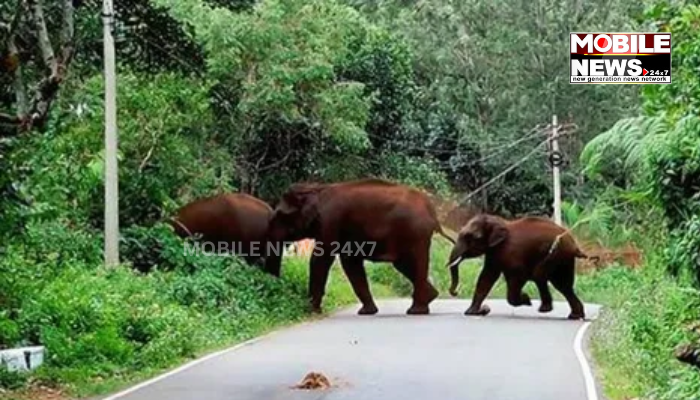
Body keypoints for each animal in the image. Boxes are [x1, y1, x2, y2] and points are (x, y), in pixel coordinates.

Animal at [262, 179, 454, 316]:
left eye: (280, 214)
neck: (316, 188)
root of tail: (433, 212)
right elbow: (350, 262)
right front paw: (367, 312)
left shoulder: (330, 220)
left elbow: (321, 259)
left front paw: (310, 310)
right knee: (403, 264)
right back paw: (430, 297)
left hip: (415, 232)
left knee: (415, 261)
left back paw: (417, 311)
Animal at [446, 214, 592, 320]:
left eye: (473, 237)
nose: (455, 292)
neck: (499, 222)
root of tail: (575, 246)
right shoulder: (493, 252)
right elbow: (486, 277)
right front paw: (472, 312)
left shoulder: (511, 252)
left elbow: (517, 277)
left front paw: (526, 300)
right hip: (564, 259)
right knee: (563, 285)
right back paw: (574, 316)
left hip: (557, 254)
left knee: (544, 277)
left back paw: (548, 310)